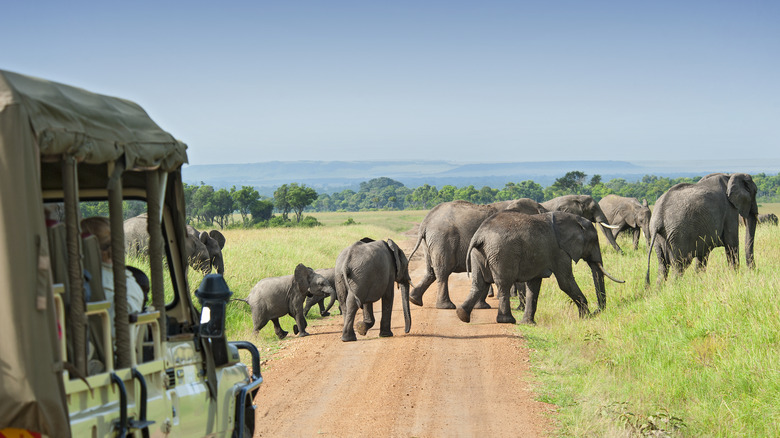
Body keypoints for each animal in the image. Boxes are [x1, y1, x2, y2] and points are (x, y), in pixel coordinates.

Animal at [408, 198, 548, 308]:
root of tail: (425, 222)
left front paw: (482, 306)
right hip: (443, 239)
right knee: (443, 271)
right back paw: (446, 306)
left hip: (430, 242)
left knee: (431, 271)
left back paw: (414, 300)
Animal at [454, 210, 624, 326]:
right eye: (594, 240)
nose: (597, 312)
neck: (573, 219)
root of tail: (479, 235)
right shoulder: (559, 251)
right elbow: (565, 282)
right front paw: (585, 318)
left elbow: (534, 285)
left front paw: (529, 324)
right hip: (502, 253)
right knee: (503, 284)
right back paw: (507, 321)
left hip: (479, 254)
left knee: (479, 283)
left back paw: (462, 315)